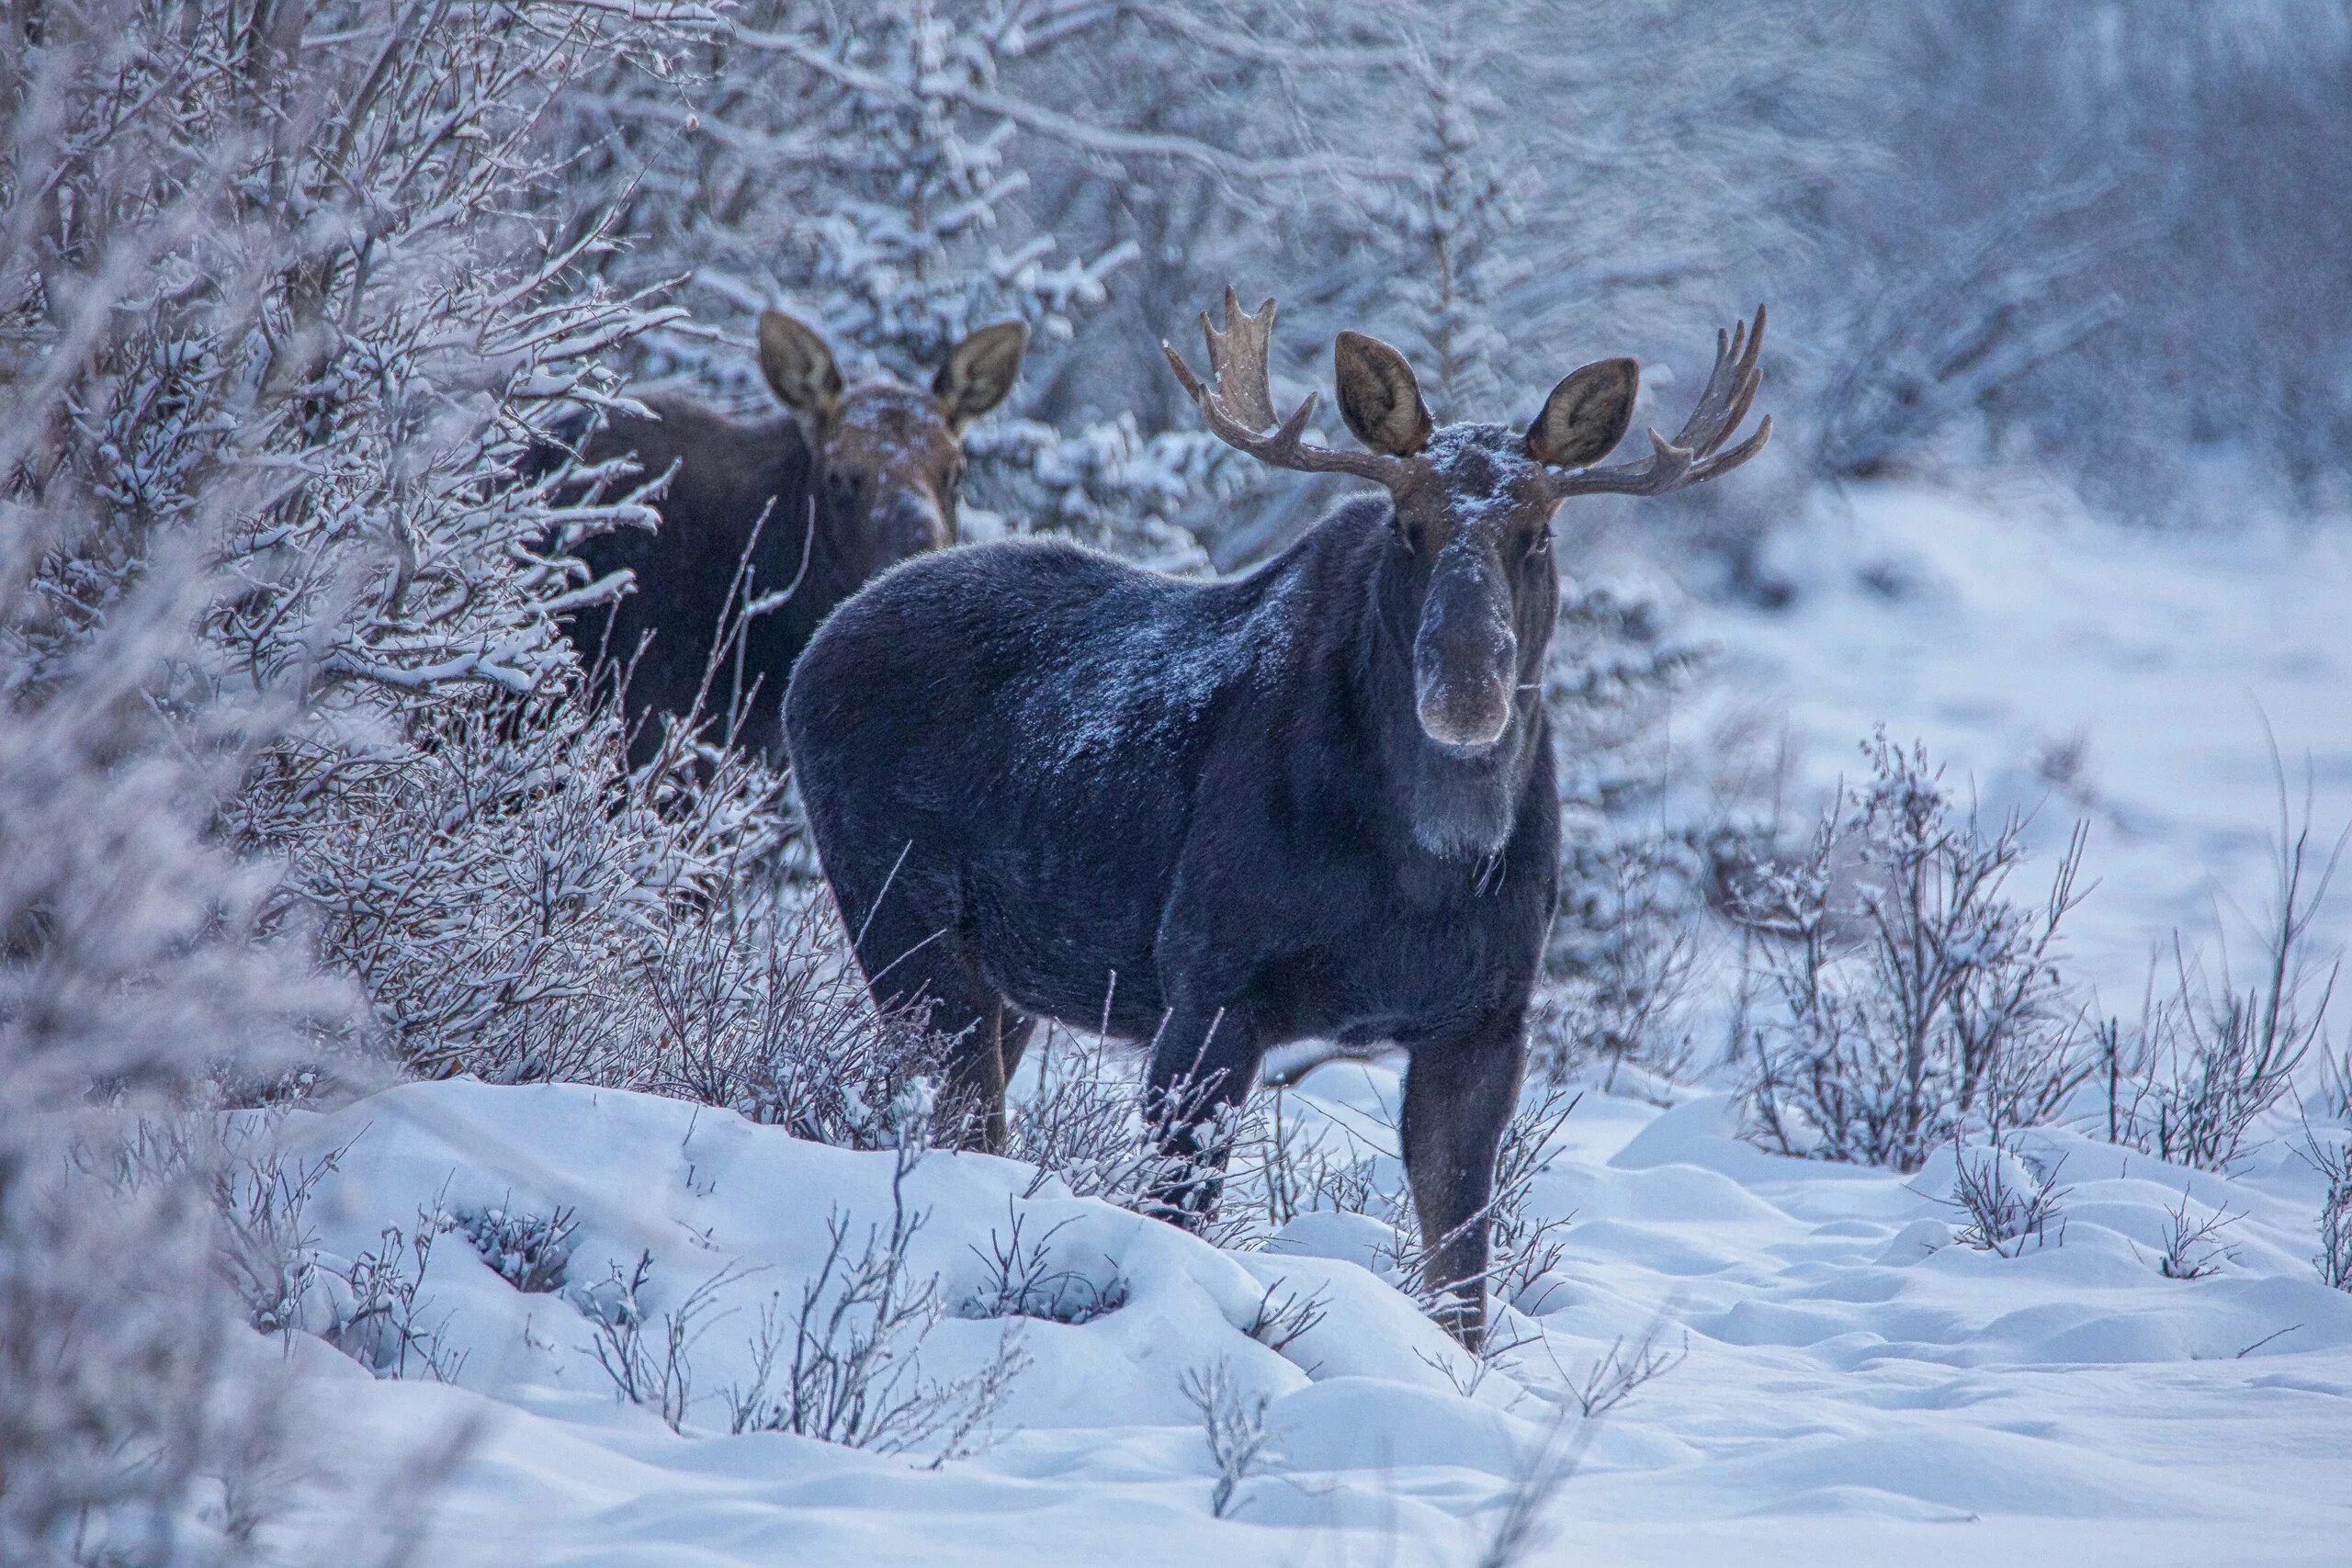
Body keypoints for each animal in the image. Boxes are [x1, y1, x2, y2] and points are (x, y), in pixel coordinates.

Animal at [786, 288, 1769, 1344]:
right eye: (1407, 524)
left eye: (1538, 531)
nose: (1466, 685)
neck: (1425, 866)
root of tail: (813, 650)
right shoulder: (1209, 979)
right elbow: (1175, 1209)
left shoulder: (1486, 1020)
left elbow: (1461, 1268)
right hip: (900, 921)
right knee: (954, 1111)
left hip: (1005, 980)